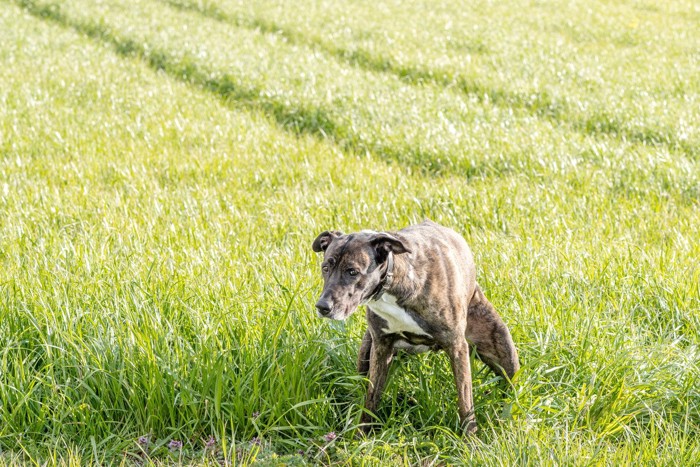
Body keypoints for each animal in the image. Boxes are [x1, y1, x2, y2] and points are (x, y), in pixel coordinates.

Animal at [312, 220, 520, 436]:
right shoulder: (381, 347)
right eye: (325, 267)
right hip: (366, 351)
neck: (392, 282)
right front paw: (363, 435)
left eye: (352, 271)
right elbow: (371, 397)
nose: (323, 307)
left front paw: (470, 438)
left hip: (504, 353)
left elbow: (465, 402)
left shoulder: (457, 347)